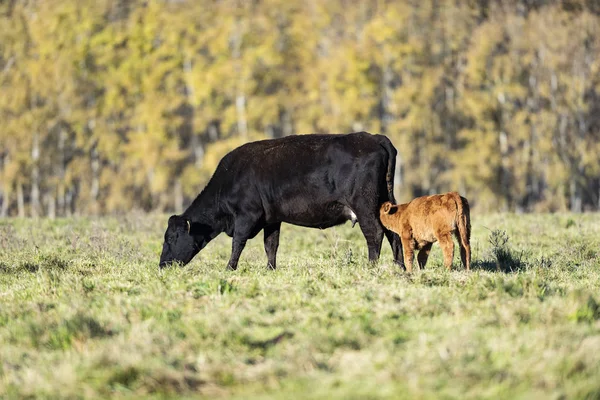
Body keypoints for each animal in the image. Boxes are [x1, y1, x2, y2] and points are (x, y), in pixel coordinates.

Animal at [162, 133, 400, 270]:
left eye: (171, 238)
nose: (162, 265)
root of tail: (374, 137)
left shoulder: (247, 215)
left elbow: (238, 242)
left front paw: (229, 268)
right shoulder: (271, 218)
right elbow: (271, 245)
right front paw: (270, 269)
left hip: (364, 204)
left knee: (374, 233)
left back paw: (371, 267)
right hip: (384, 202)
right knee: (393, 233)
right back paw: (400, 266)